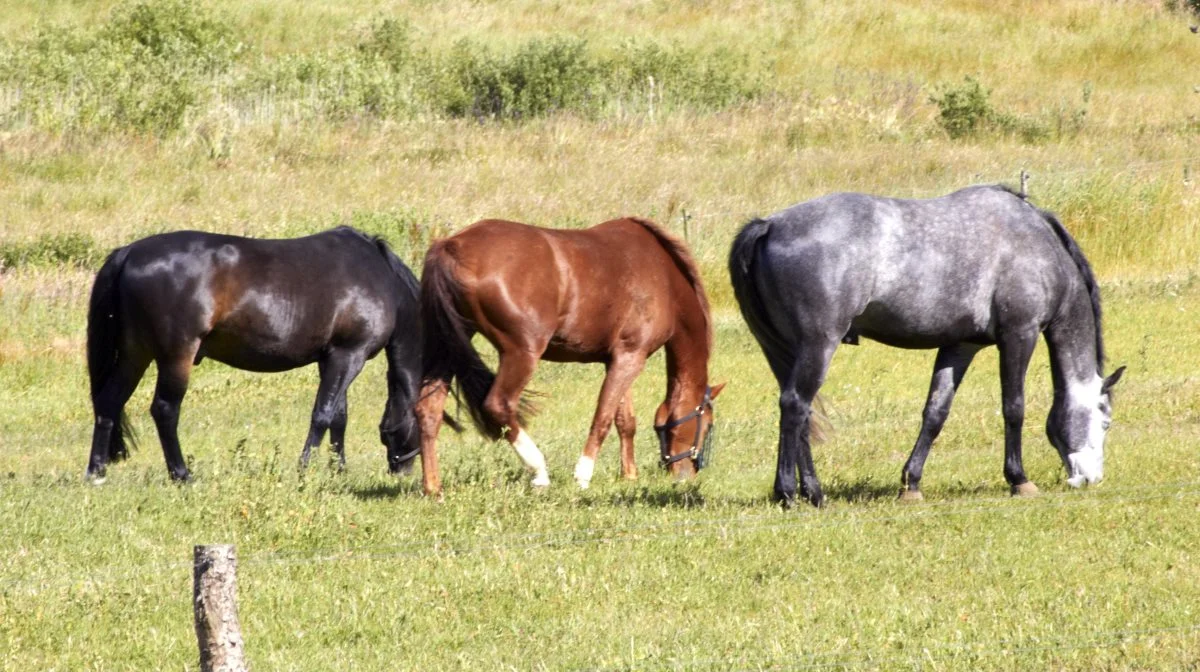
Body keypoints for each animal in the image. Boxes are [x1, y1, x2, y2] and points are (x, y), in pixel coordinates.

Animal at [84, 225, 424, 482]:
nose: (402, 469)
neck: (378, 278)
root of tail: (129, 253)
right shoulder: (349, 355)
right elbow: (323, 415)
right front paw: (305, 469)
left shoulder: (332, 358)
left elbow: (339, 417)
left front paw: (337, 470)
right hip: (175, 356)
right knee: (165, 410)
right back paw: (182, 474)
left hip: (134, 354)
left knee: (109, 402)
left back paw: (96, 472)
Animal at [408, 218, 724, 496]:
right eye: (707, 424)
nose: (685, 474)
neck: (665, 278)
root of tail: (452, 245)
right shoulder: (631, 358)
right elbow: (602, 419)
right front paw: (583, 475)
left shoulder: (621, 359)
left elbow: (624, 421)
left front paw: (629, 475)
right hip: (521, 353)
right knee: (498, 406)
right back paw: (539, 470)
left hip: (447, 348)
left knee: (428, 410)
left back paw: (433, 487)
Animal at [729, 181, 1123, 506]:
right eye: (1105, 420)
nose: (1091, 478)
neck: (1037, 245)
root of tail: (770, 224)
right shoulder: (1018, 335)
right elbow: (1014, 408)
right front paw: (1019, 479)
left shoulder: (959, 346)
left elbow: (935, 413)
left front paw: (911, 484)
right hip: (818, 345)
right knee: (796, 405)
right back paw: (791, 492)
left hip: (786, 351)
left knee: (799, 411)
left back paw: (811, 492)